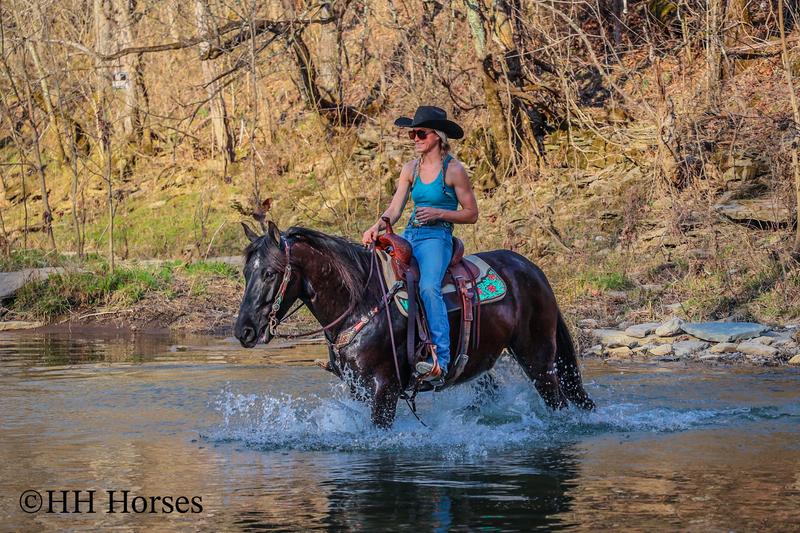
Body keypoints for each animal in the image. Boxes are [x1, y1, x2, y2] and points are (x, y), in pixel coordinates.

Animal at [233, 221, 592, 428]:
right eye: (246, 272)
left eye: (269, 273)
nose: (243, 331)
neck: (360, 305)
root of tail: (532, 269)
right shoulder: (356, 388)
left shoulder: (385, 387)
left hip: (538, 359)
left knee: (559, 403)